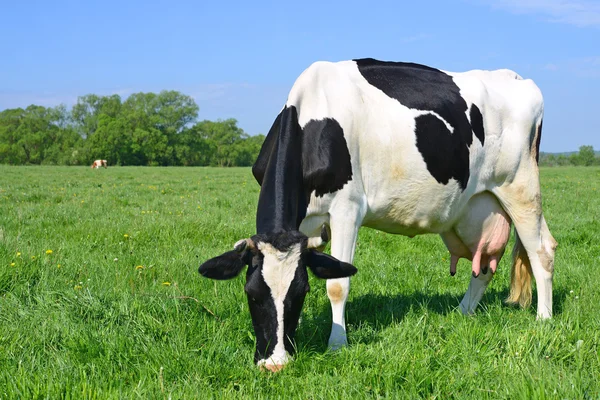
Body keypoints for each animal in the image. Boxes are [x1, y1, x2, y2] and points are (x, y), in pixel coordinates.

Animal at [198, 58, 556, 372]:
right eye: (251, 294)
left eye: (301, 293)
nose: (274, 364)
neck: (313, 118)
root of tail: (517, 78)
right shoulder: (306, 226)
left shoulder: (347, 208)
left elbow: (338, 284)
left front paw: (336, 344)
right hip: (477, 207)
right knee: (486, 264)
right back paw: (461, 312)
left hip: (521, 187)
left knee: (541, 250)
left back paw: (543, 319)